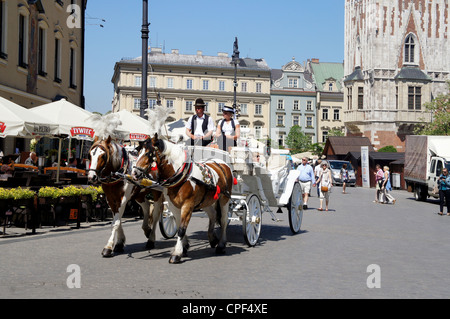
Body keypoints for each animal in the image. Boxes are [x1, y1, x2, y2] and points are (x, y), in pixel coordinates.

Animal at [132, 136, 234, 264]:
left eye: (148, 154)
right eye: (138, 152)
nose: (135, 173)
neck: (182, 176)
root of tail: (222, 163)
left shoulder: (187, 205)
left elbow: (181, 229)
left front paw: (176, 254)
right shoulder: (173, 205)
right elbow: (179, 224)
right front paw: (184, 247)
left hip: (224, 199)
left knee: (224, 220)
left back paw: (221, 245)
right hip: (206, 201)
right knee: (213, 214)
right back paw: (212, 238)